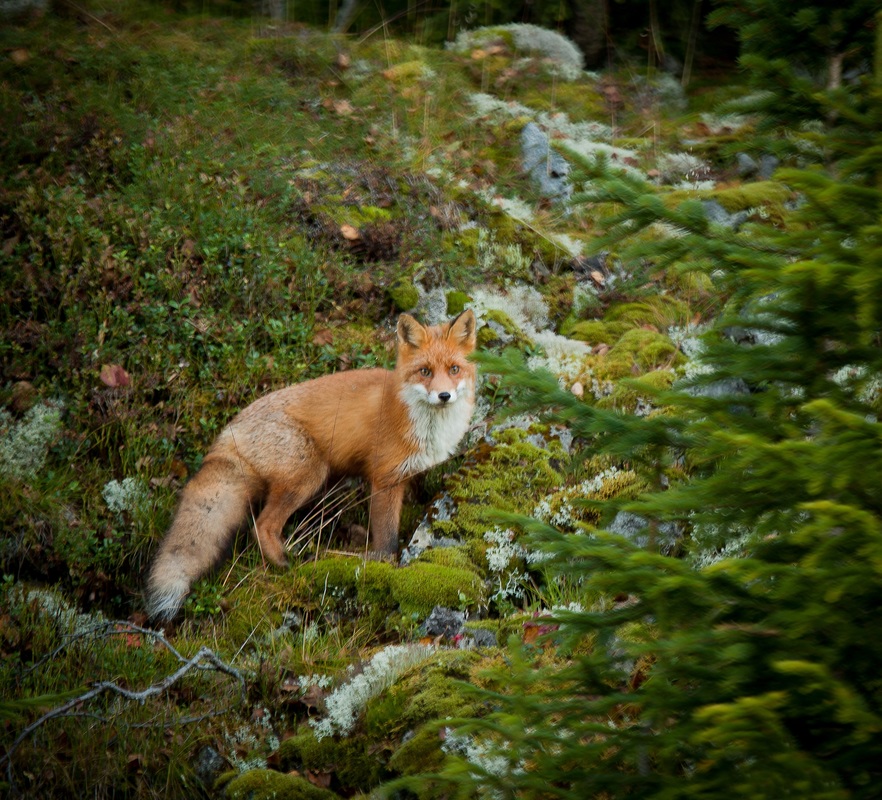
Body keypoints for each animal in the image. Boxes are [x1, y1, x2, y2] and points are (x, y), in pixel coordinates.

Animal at [145, 310, 477, 621]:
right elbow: (387, 536)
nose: (444, 395)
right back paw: (284, 563)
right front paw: (385, 569)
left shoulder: (412, 471)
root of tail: (229, 431)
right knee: (262, 525)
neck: (421, 421)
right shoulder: (385, 478)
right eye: (425, 371)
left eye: (454, 369)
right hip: (309, 475)